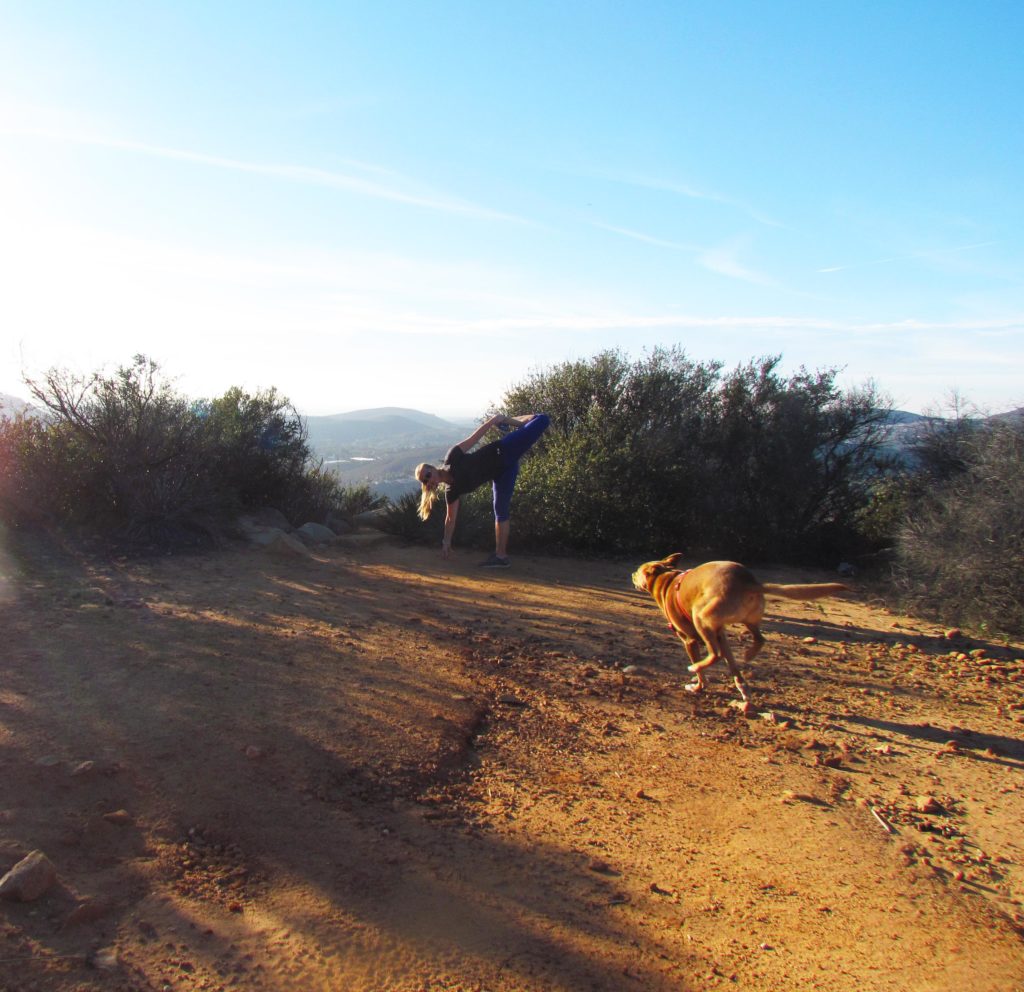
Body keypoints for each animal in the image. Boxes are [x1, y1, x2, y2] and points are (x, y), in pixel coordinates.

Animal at [630, 556, 847, 704]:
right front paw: (740, 685)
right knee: (759, 639)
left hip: (700, 617)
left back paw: (696, 667)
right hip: (746, 619)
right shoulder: (720, 634)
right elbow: (732, 666)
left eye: (638, 571)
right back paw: (748, 659)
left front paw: (698, 686)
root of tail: (749, 582)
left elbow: (704, 673)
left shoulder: (690, 639)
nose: (631, 574)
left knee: (715, 654)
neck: (666, 579)